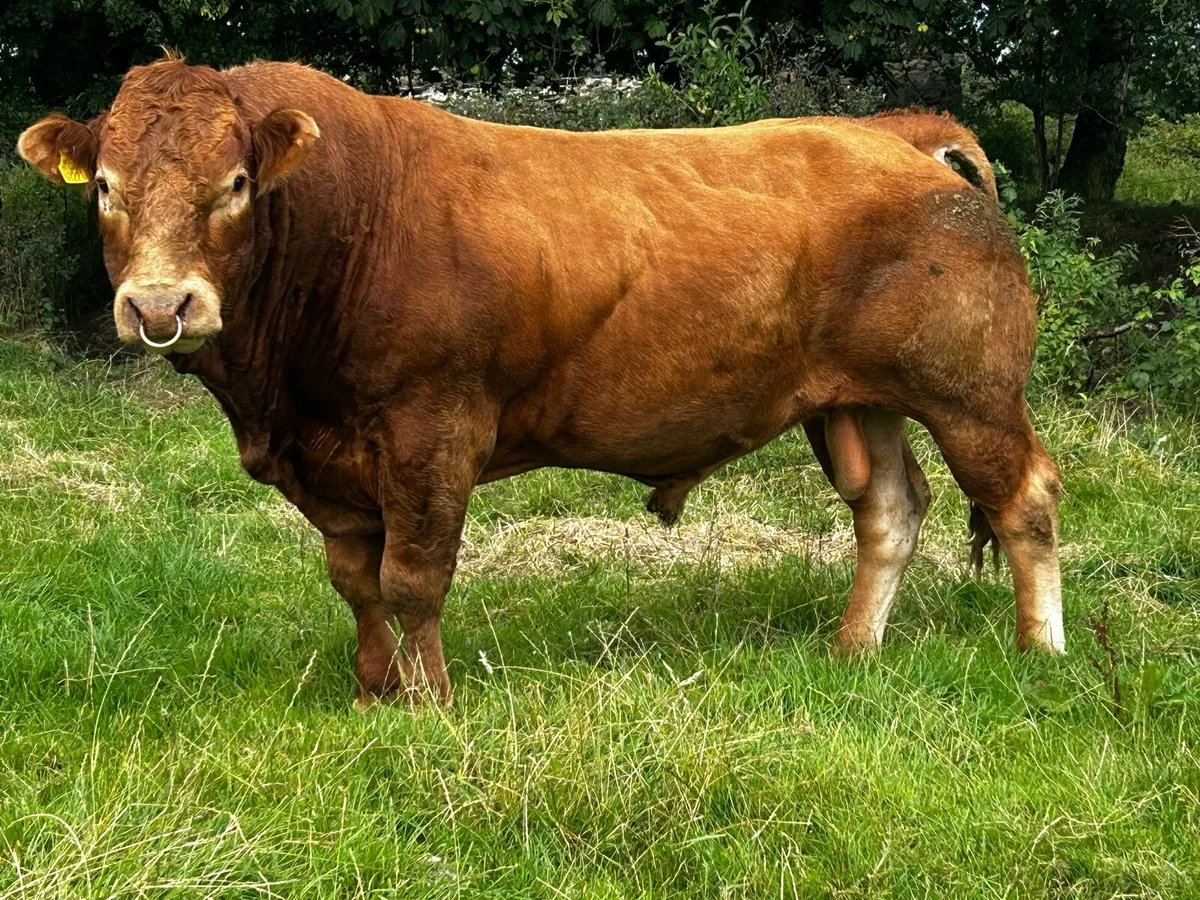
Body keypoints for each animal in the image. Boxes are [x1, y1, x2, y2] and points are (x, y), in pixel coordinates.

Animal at [19, 56, 1064, 706]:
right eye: (105, 186)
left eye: (234, 184)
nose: (161, 306)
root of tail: (893, 131)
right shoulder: (334, 460)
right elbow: (355, 581)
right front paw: (370, 694)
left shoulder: (431, 431)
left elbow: (411, 579)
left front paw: (428, 706)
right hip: (861, 400)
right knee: (890, 509)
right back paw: (853, 652)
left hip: (971, 395)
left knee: (1025, 499)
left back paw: (1042, 653)